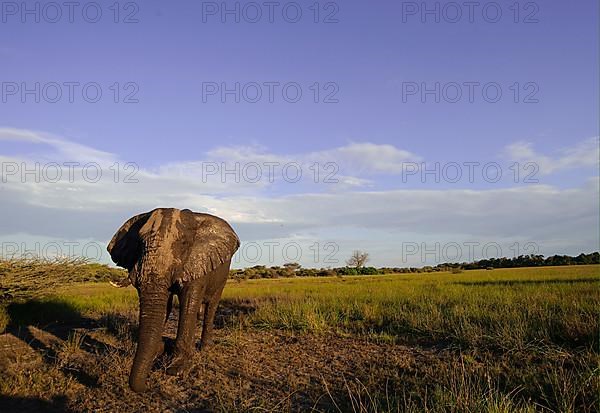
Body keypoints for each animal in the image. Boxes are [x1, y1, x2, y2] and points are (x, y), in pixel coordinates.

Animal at [108, 208, 239, 392]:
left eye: (183, 244)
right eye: (140, 244)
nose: (146, 386)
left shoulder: (197, 261)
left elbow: (189, 302)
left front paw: (176, 370)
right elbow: (166, 304)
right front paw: (158, 353)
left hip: (223, 275)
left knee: (211, 306)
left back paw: (205, 348)